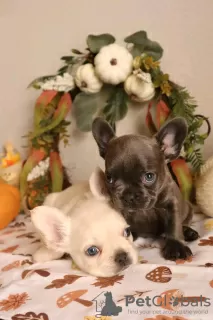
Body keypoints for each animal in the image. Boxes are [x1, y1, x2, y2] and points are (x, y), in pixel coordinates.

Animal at [92, 116, 200, 262]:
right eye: (109, 178)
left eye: (149, 176)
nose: (128, 196)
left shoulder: (171, 205)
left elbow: (174, 225)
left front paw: (176, 246)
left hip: (189, 209)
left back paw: (188, 232)